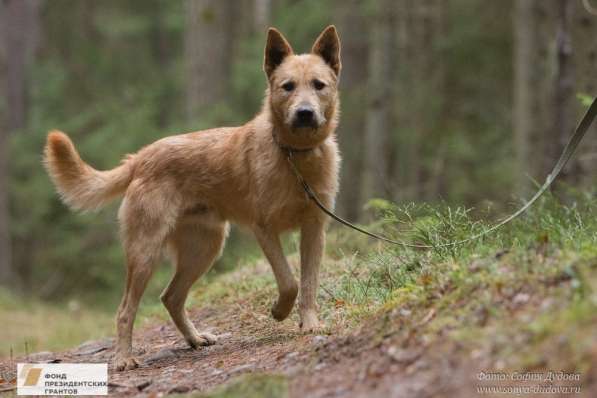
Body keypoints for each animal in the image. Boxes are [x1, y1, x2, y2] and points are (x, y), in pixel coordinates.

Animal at [43, 26, 340, 372]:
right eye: (287, 87)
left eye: (318, 85)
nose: (305, 113)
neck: (295, 157)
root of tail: (141, 157)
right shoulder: (264, 229)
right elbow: (289, 282)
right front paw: (279, 312)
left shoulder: (315, 230)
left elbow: (308, 284)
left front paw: (310, 324)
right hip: (146, 254)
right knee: (125, 310)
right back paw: (124, 358)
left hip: (204, 249)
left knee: (170, 297)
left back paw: (194, 339)